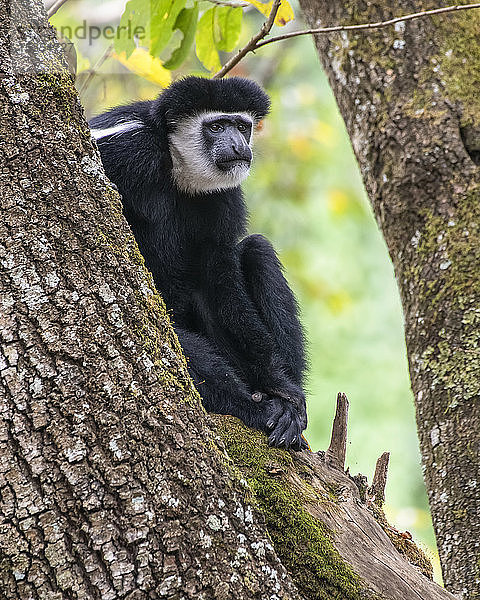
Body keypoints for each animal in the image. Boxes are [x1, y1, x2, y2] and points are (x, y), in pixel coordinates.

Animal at [90, 75, 308, 450]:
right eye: (217, 126)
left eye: (242, 125)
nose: (239, 145)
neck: (175, 166)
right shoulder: (126, 149)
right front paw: (263, 407)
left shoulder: (224, 197)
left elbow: (219, 281)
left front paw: (284, 391)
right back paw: (253, 408)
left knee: (257, 250)